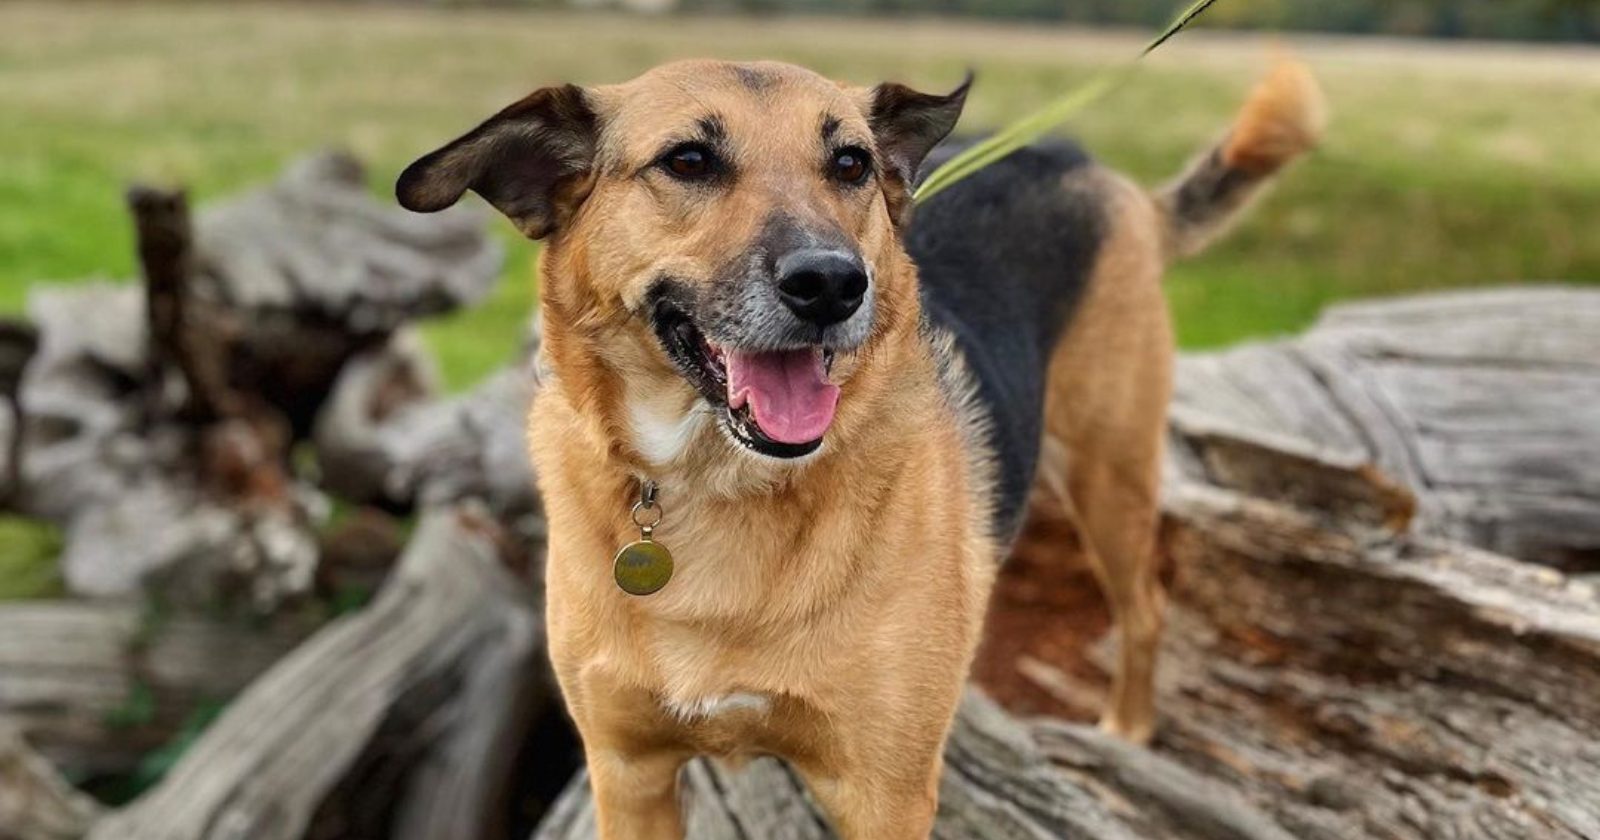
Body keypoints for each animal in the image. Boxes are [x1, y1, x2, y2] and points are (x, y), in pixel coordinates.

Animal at [400, 58, 1324, 838]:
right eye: (689, 161)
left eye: (849, 164)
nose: (832, 284)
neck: (714, 485)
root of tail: (1085, 167)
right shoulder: (630, 775)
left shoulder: (883, 795)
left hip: (1111, 472)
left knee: (1145, 608)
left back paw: (1126, 725)